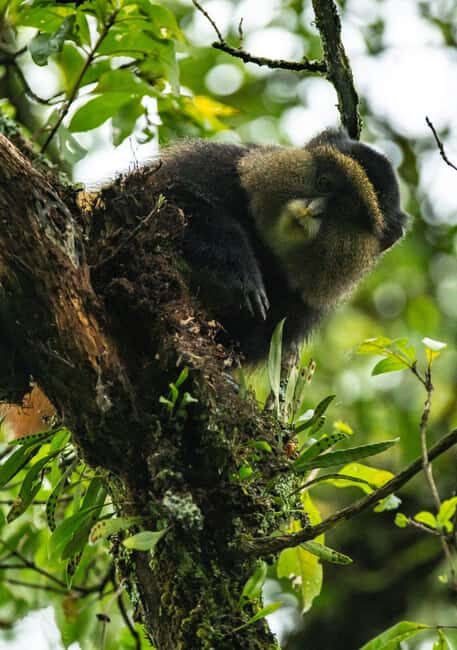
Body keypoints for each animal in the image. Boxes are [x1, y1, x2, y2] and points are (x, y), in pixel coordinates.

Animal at [148, 129, 407, 361]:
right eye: (325, 182)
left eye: (346, 208)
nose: (313, 210)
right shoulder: (219, 162)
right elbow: (170, 191)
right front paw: (242, 275)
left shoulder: (299, 310)